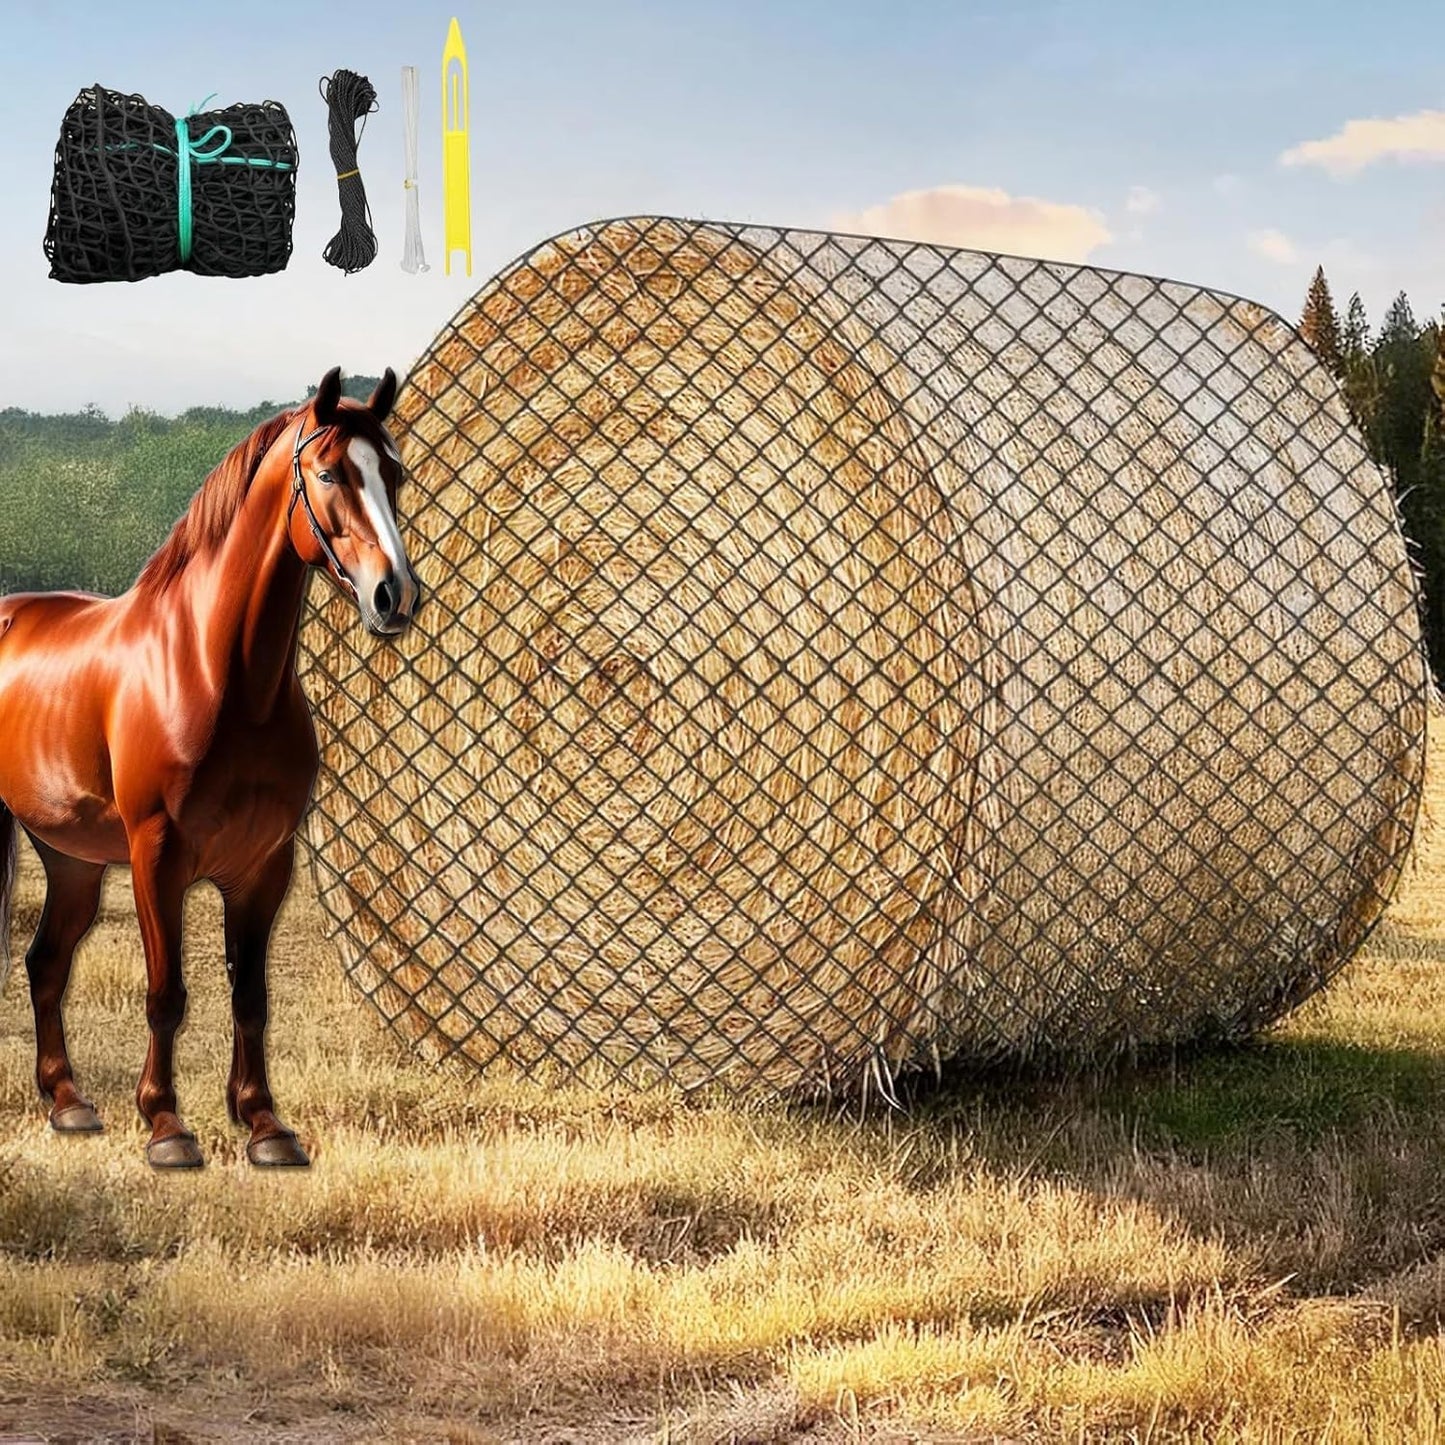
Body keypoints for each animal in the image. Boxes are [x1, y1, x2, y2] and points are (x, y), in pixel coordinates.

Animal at [0, 366, 419, 1168]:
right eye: (329, 472)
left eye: (395, 473)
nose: (395, 596)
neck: (213, 674)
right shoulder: (157, 856)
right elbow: (167, 993)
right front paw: (166, 1127)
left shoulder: (264, 864)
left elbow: (250, 995)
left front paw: (264, 1125)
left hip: (70, 857)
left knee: (46, 962)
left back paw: (69, 1104)